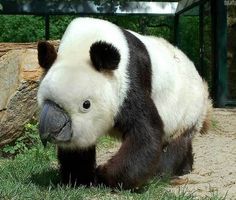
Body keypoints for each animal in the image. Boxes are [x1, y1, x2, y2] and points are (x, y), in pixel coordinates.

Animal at [37, 16, 212, 189]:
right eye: (44, 100)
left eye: (86, 104)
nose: (50, 132)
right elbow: (77, 150)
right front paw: (80, 179)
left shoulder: (129, 80)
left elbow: (145, 133)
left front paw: (104, 175)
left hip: (188, 107)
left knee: (176, 143)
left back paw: (164, 172)